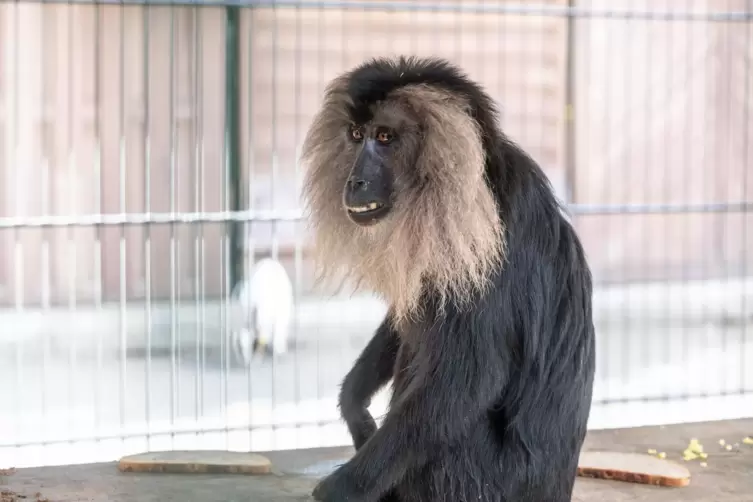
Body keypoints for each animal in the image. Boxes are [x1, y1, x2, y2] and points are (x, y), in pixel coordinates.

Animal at [299, 56, 595, 502]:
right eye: (356, 135)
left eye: (385, 137)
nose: (355, 181)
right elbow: (408, 313)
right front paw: (354, 404)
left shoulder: (485, 244)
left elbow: (468, 382)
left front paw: (343, 488)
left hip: (476, 478)